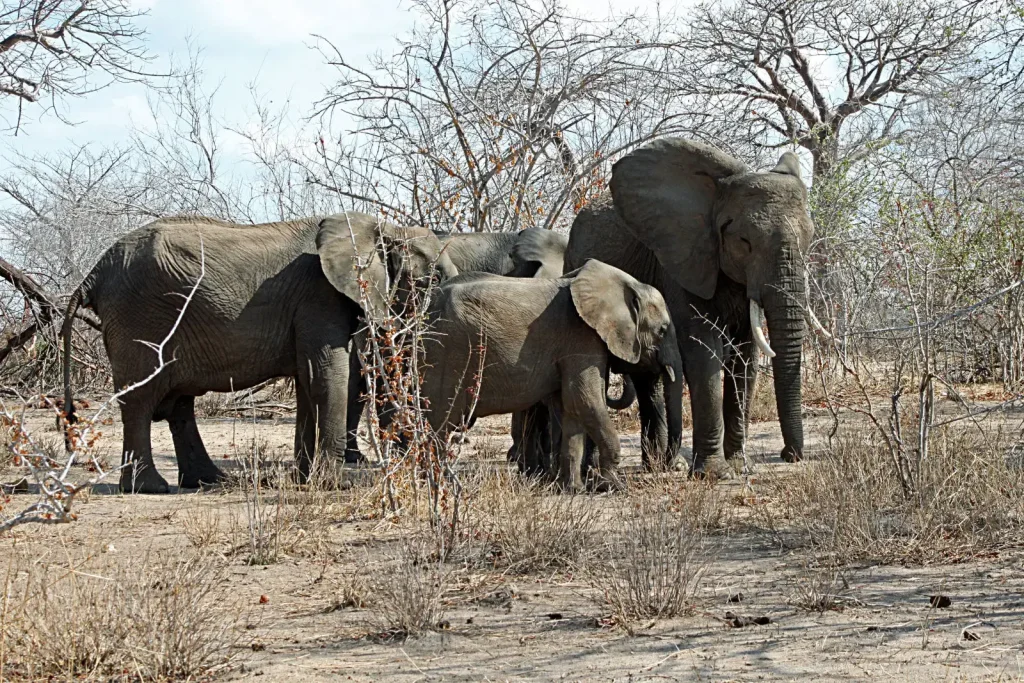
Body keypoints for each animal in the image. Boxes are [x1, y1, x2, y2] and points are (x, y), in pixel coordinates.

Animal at [61, 212, 457, 493]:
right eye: (432, 280)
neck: (380, 228)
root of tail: (93, 273)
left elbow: (308, 380)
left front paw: (304, 480)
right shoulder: (319, 296)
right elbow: (327, 374)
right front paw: (337, 483)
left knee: (180, 403)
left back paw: (210, 481)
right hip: (140, 319)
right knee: (141, 399)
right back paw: (150, 488)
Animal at [409, 259, 683, 491]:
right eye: (663, 330)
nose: (674, 467)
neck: (625, 284)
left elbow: (571, 406)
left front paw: (573, 489)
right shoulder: (581, 338)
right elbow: (585, 400)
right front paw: (613, 487)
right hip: (445, 356)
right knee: (439, 423)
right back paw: (437, 486)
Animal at [564, 138, 815, 478]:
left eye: (809, 238)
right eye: (745, 241)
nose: (790, 455)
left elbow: (745, 356)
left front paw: (740, 466)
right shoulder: (681, 259)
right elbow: (703, 350)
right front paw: (715, 473)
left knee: (649, 380)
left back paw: (659, 466)